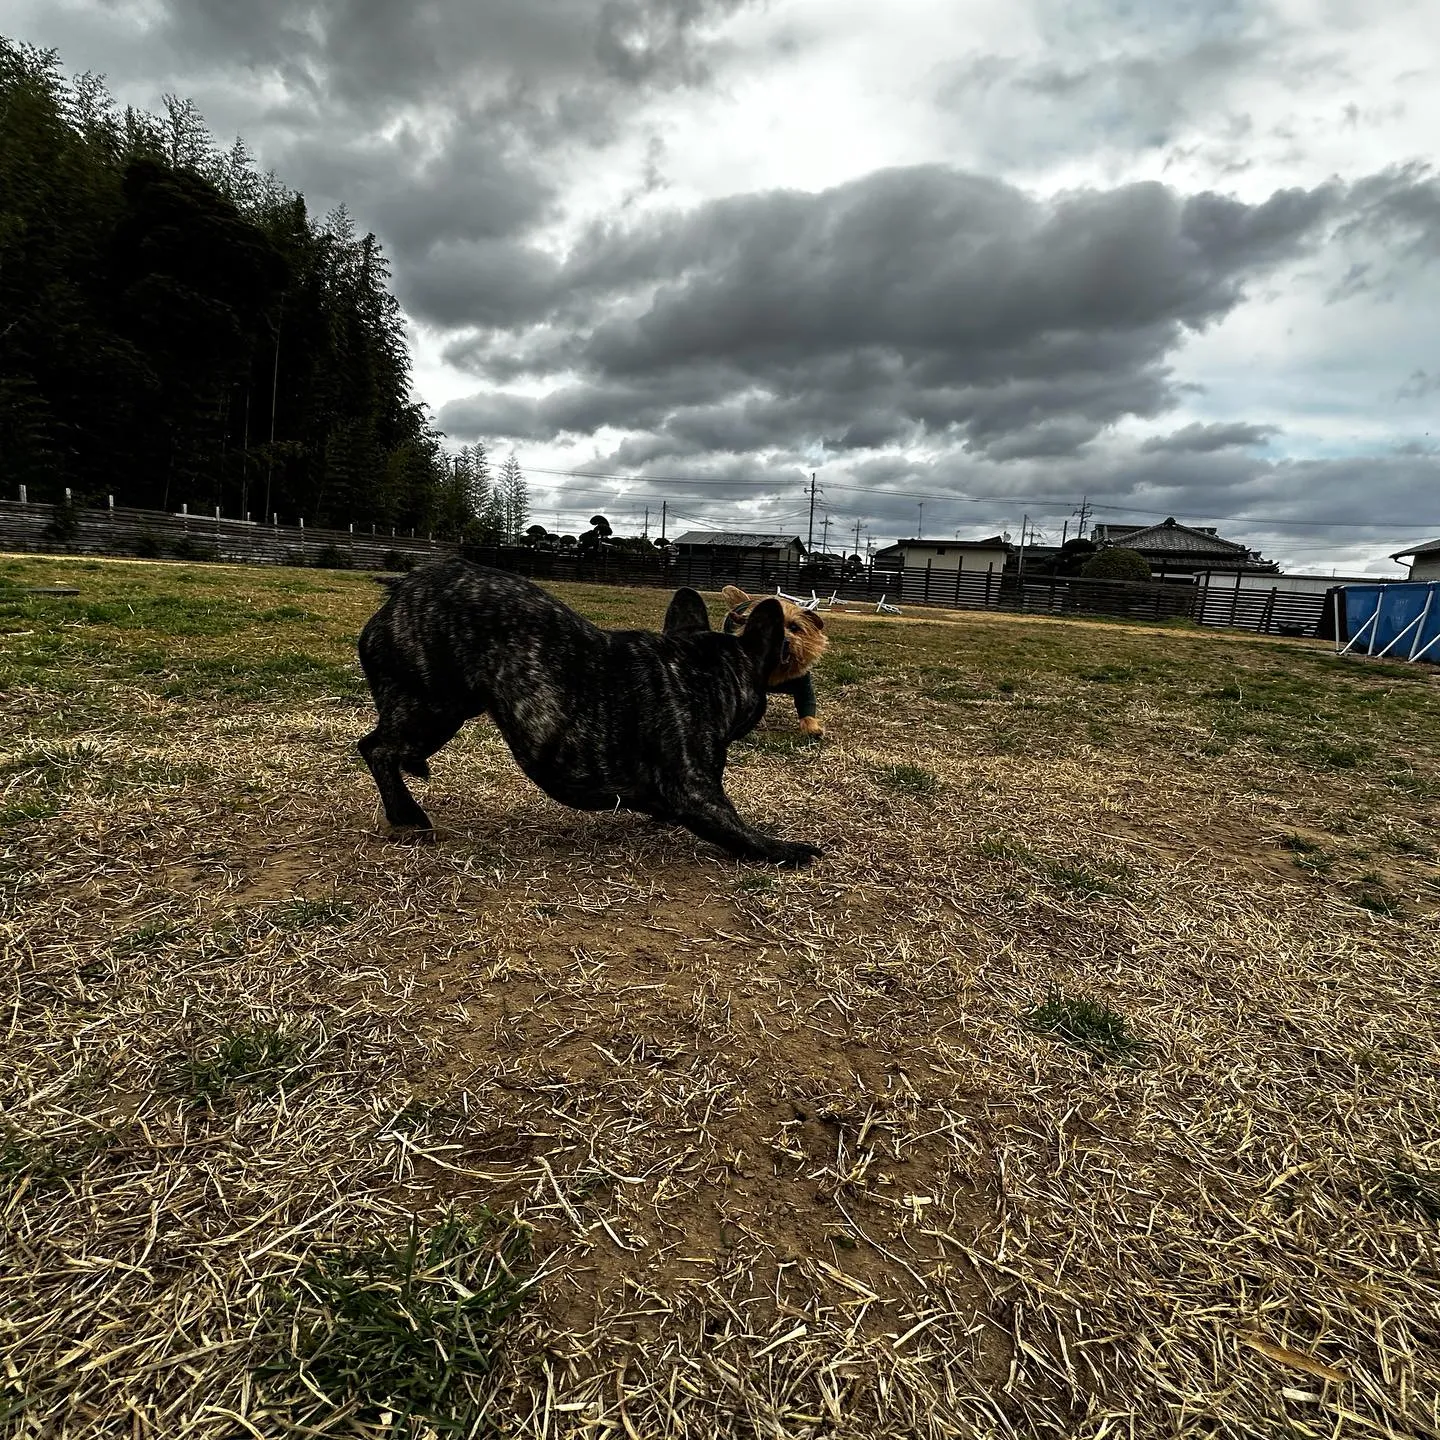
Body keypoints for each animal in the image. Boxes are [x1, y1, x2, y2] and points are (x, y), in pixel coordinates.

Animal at [720, 584, 835, 743]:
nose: (783, 641)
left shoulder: (803, 684)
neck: (777, 669)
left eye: (794, 627)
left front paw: (812, 727)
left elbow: (807, 703)